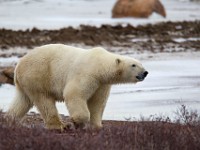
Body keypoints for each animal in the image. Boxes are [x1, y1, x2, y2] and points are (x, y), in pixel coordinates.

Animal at [7, 44, 148, 129]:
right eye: (133, 65)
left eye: (141, 64)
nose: (145, 72)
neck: (99, 65)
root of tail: (19, 65)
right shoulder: (87, 74)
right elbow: (74, 94)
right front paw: (78, 122)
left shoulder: (102, 83)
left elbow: (97, 102)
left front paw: (97, 125)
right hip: (38, 75)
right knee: (44, 101)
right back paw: (59, 126)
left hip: (26, 82)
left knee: (23, 101)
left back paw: (9, 120)